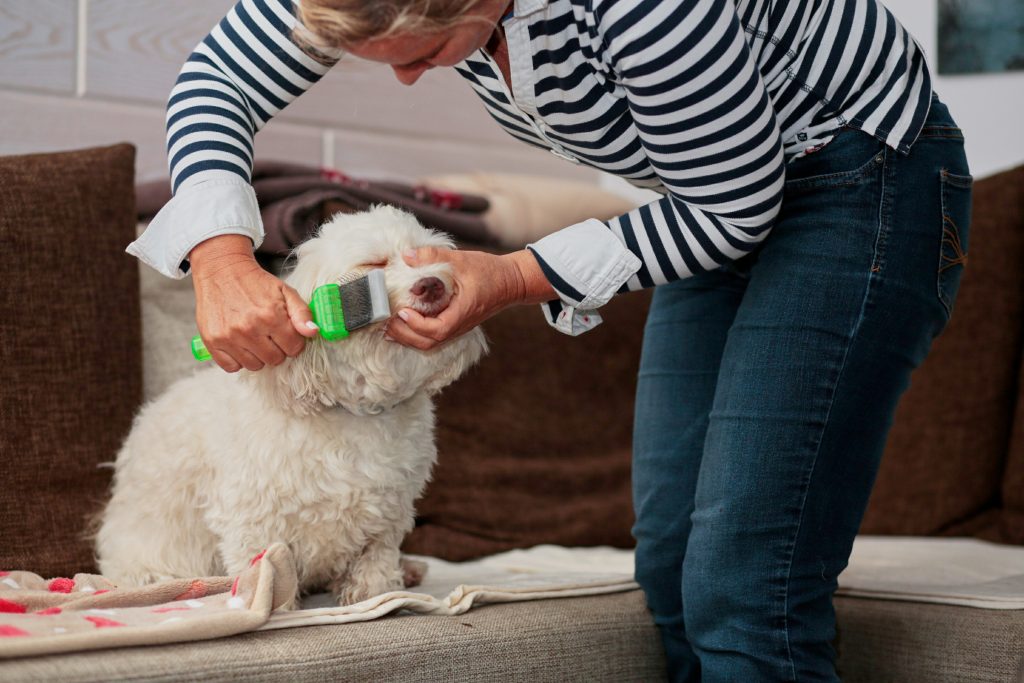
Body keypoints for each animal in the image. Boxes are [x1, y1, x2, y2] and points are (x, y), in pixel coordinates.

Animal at [97, 205, 489, 606]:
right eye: (373, 263)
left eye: (423, 258)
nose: (431, 284)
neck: (354, 409)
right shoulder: (253, 515)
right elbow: (265, 567)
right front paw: (273, 604)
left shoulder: (389, 511)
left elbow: (375, 558)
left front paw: (375, 595)